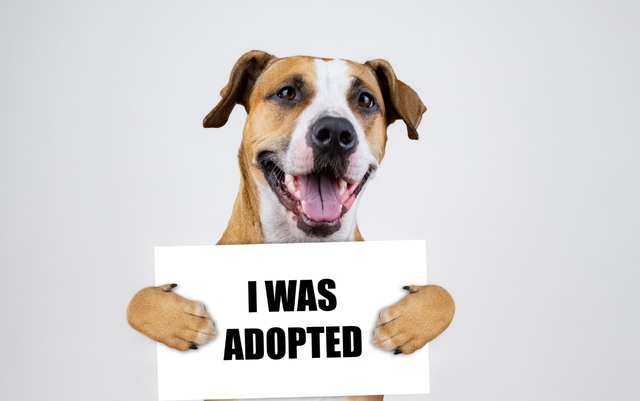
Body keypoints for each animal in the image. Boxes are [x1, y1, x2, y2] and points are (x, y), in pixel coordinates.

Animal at [126, 50, 456, 400]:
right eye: (287, 93)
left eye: (366, 100)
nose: (335, 133)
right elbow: (136, 302)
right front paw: (179, 321)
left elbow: (444, 296)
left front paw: (405, 324)